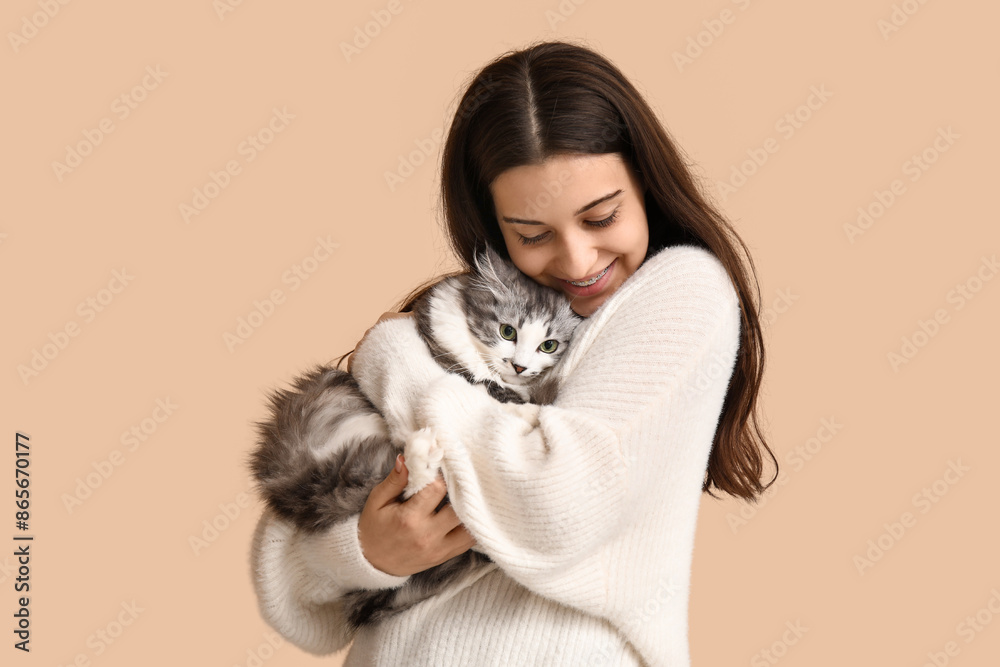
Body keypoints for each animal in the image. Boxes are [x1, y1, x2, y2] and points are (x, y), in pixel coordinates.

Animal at [245, 245, 584, 632]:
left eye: (549, 345)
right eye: (507, 331)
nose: (519, 366)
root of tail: (302, 484)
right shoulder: (446, 347)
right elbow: (488, 386)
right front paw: (521, 404)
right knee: (408, 485)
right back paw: (423, 451)